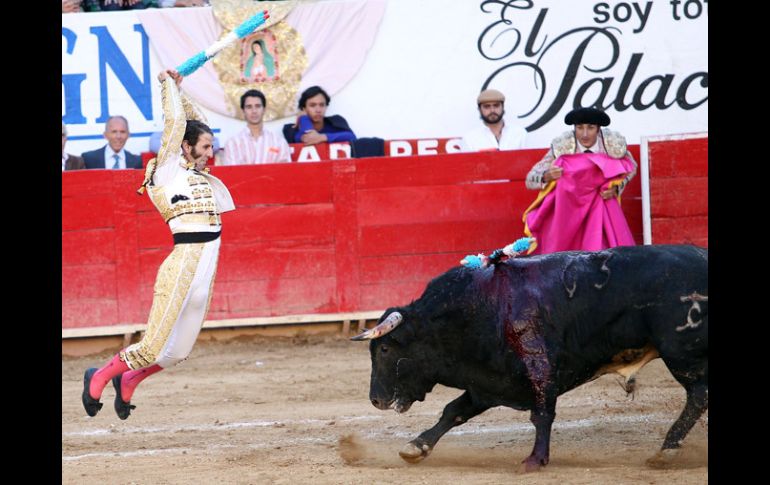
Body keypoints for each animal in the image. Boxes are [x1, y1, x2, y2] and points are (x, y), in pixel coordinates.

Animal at [352, 244, 704, 470]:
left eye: (385, 349)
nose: (375, 400)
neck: (473, 311)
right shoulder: (487, 382)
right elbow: (453, 412)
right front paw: (415, 446)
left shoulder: (538, 369)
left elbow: (542, 414)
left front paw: (535, 459)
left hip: (682, 355)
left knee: (699, 396)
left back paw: (667, 450)